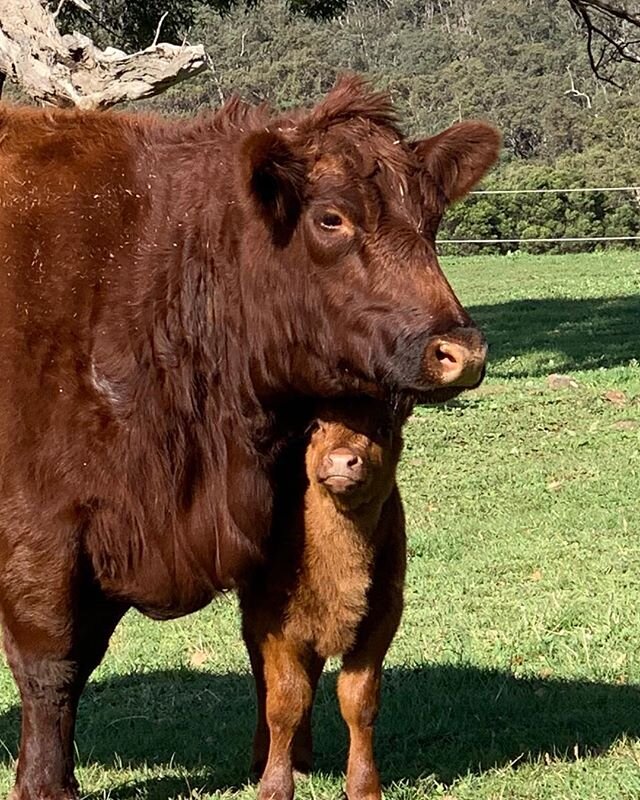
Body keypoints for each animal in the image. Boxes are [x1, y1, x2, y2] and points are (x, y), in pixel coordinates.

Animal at [240, 398, 404, 800]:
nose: (342, 461)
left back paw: (300, 757)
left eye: (383, 428)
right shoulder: (274, 621)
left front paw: (364, 786)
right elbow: (284, 701)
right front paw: (274, 786)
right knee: (265, 681)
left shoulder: (382, 617)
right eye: (316, 426)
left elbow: (359, 701)